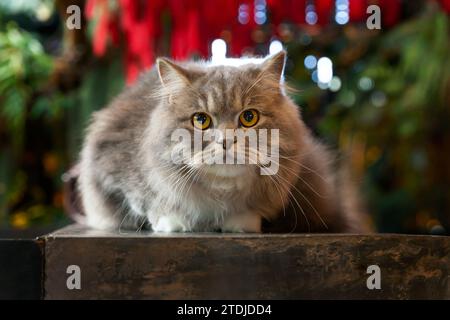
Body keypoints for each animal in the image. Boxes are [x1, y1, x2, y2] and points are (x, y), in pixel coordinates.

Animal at [78, 51, 372, 234]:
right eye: (201, 120)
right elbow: (148, 203)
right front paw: (174, 222)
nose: (226, 141)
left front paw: (239, 223)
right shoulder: (110, 170)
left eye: (249, 117)